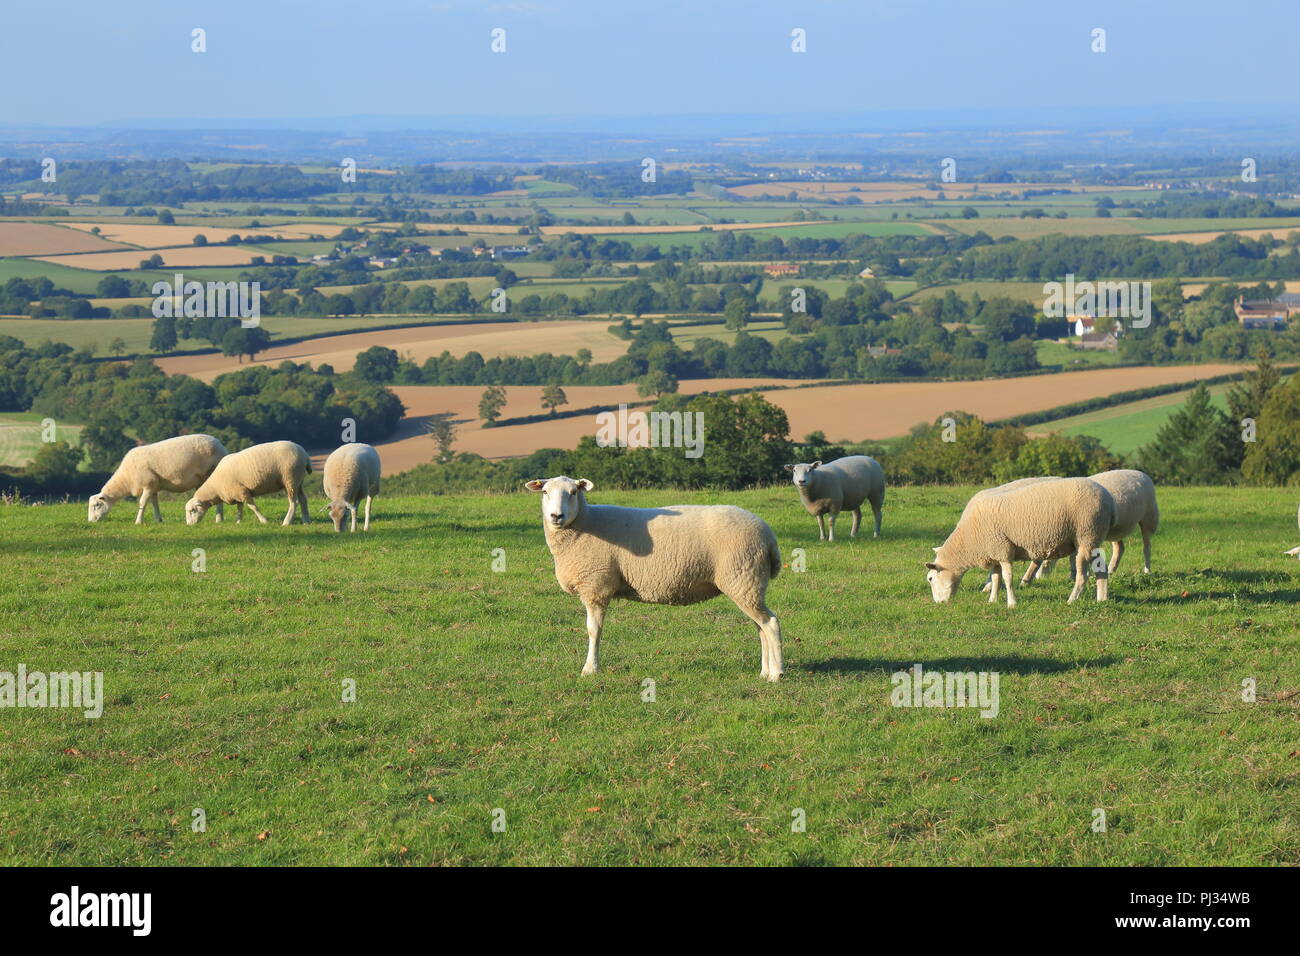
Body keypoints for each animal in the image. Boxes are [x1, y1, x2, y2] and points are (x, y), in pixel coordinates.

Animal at [87, 434, 228, 522]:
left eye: (96, 505)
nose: (90, 521)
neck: (126, 478)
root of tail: (221, 446)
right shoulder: (154, 486)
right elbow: (155, 504)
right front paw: (158, 520)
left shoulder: (148, 484)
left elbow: (142, 503)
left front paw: (138, 521)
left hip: (211, 474)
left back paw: (219, 519)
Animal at [183, 442, 312, 528]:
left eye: (192, 510)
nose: (189, 525)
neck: (215, 488)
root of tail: (304, 454)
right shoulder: (236, 492)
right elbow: (240, 507)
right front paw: (238, 521)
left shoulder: (242, 491)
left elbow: (252, 507)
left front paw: (264, 521)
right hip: (298, 481)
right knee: (303, 500)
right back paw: (306, 521)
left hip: (290, 479)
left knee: (294, 502)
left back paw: (286, 522)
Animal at [522, 476, 785, 681]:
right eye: (545, 492)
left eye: (574, 492)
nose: (556, 516)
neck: (585, 524)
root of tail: (768, 534)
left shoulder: (596, 585)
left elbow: (593, 630)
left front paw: (590, 669)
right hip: (749, 582)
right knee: (760, 626)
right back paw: (764, 672)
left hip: (743, 577)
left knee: (770, 623)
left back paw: (776, 674)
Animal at [925, 476, 1118, 608]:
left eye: (930, 578)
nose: (938, 603)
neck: (968, 541)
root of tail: (1108, 499)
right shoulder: (994, 553)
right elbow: (996, 578)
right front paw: (992, 600)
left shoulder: (1002, 550)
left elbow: (1007, 578)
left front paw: (1011, 603)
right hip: (1093, 539)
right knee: (1101, 570)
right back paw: (1102, 599)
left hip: (1087, 535)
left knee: (1083, 575)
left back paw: (1072, 599)